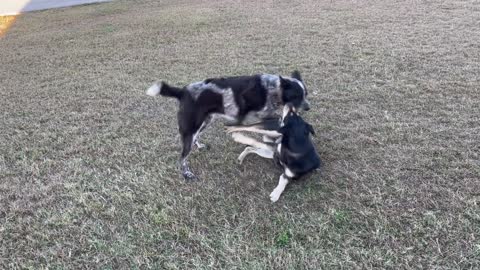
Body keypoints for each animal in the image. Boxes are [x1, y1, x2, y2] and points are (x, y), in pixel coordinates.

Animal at [147, 70, 312, 180]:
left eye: (306, 94)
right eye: (297, 96)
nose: (308, 108)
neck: (273, 88)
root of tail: (182, 91)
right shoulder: (252, 117)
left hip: (204, 122)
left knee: (195, 139)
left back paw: (199, 146)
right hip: (191, 128)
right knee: (182, 157)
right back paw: (186, 174)